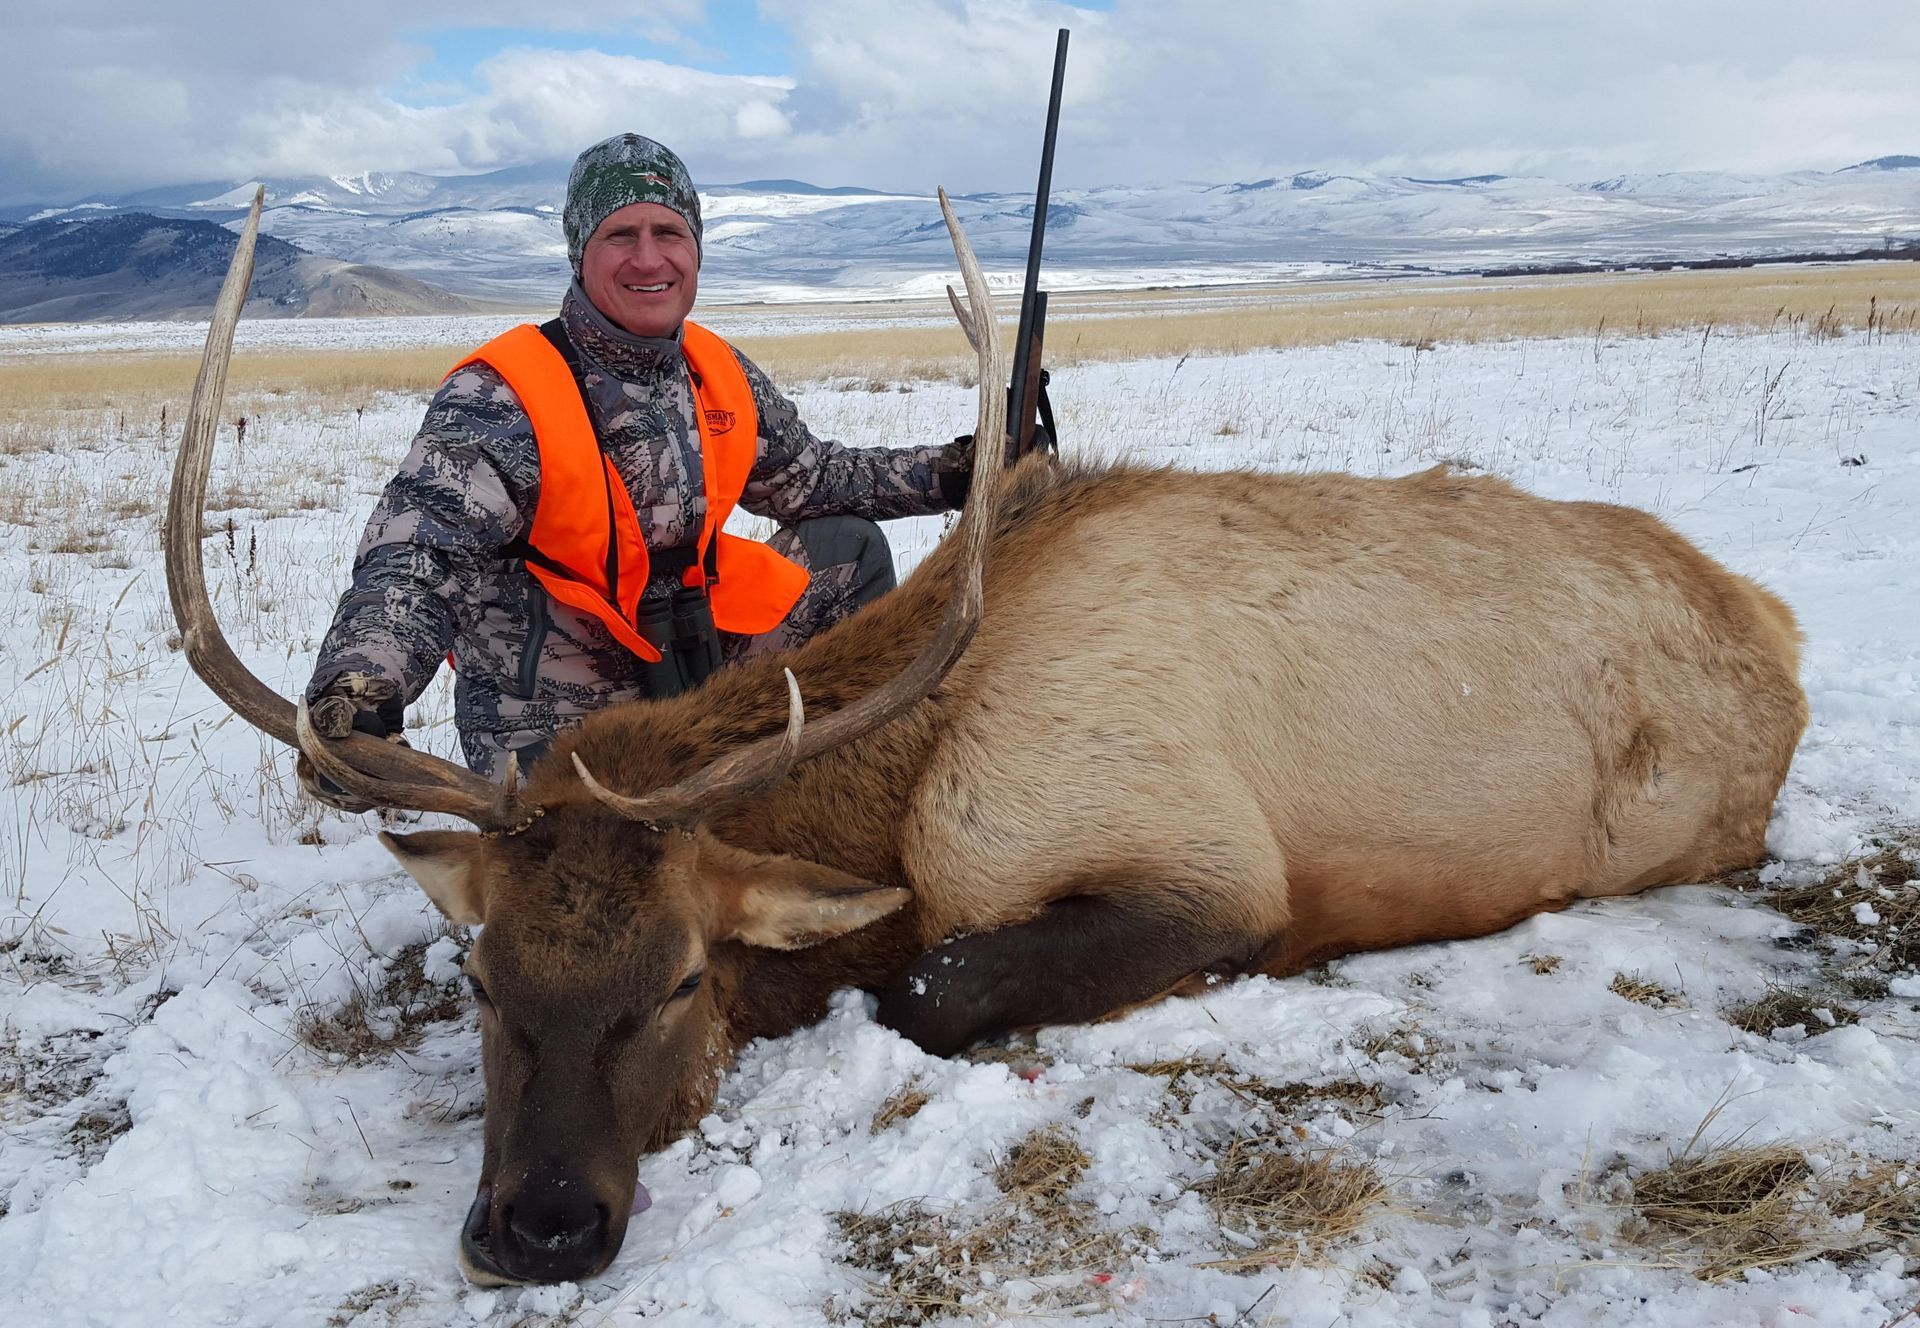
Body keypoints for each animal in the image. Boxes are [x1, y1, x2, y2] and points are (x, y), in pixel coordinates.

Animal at [166, 189, 1808, 1286]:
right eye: (480, 977)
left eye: (685, 975)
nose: (541, 1227)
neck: (914, 789)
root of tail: (1776, 631)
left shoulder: (1208, 866)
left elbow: (923, 987)